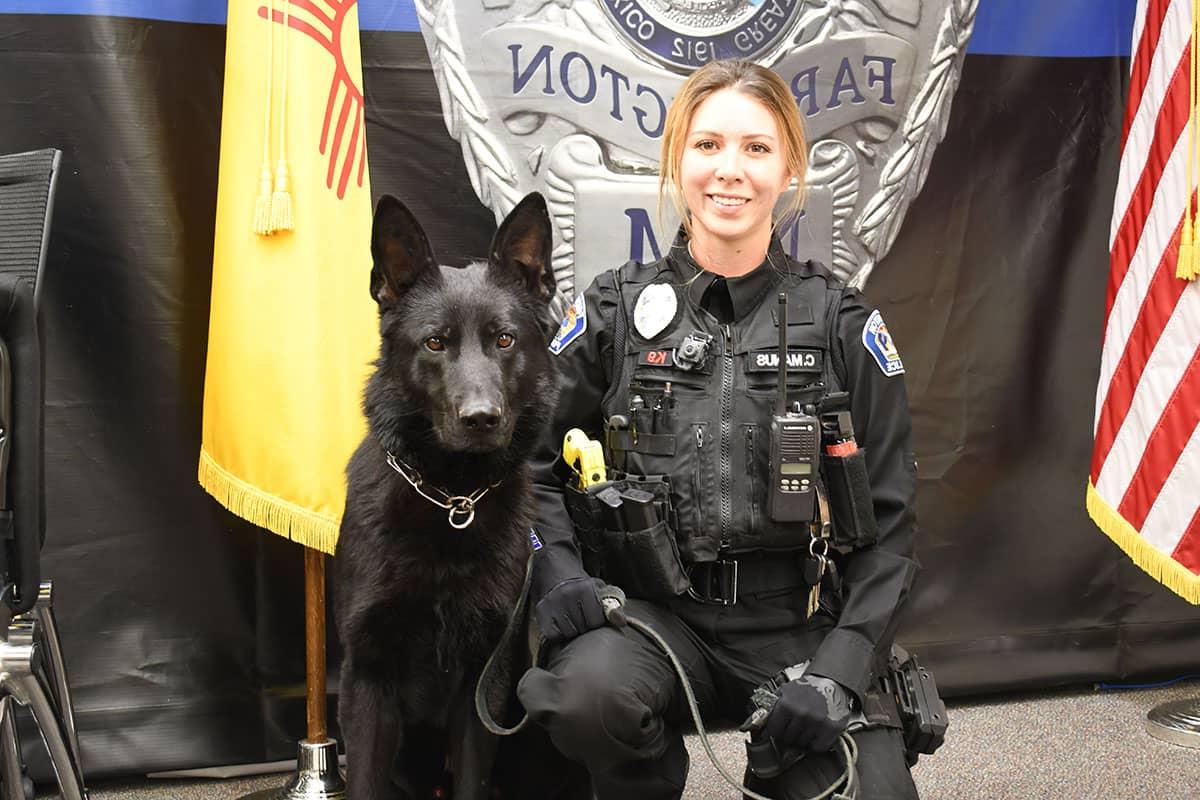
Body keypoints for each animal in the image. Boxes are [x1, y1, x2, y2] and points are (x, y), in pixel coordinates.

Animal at [338, 190, 561, 796]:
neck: (452, 500)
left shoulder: (484, 681)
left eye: (504, 339)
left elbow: (470, 780)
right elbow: (363, 779)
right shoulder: (368, 673)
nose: (481, 419)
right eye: (435, 342)